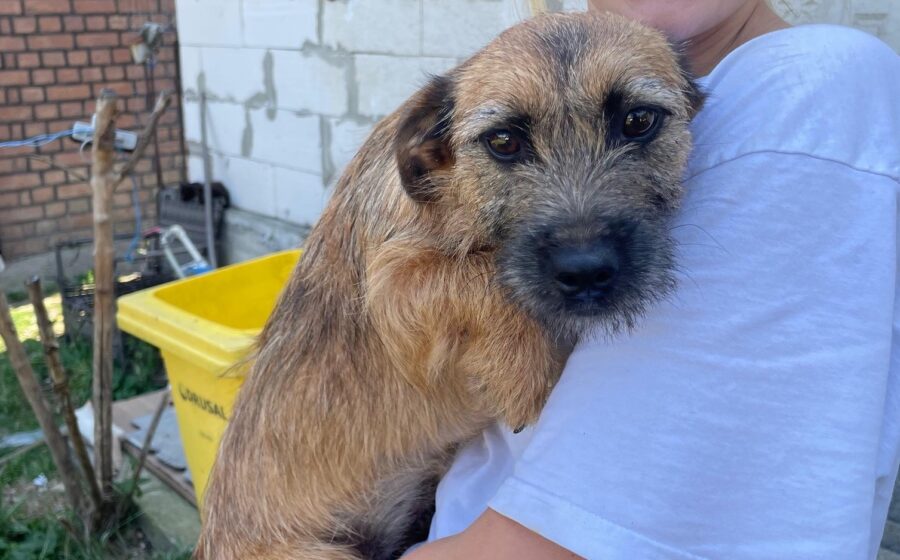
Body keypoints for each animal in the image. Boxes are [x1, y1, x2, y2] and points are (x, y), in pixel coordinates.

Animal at [195, 12, 703, 560]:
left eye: (638, 120)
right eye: (503, 141)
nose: (586, 270)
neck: (455, 195)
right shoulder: (391, 290)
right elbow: (471, 274)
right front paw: (527, 373)